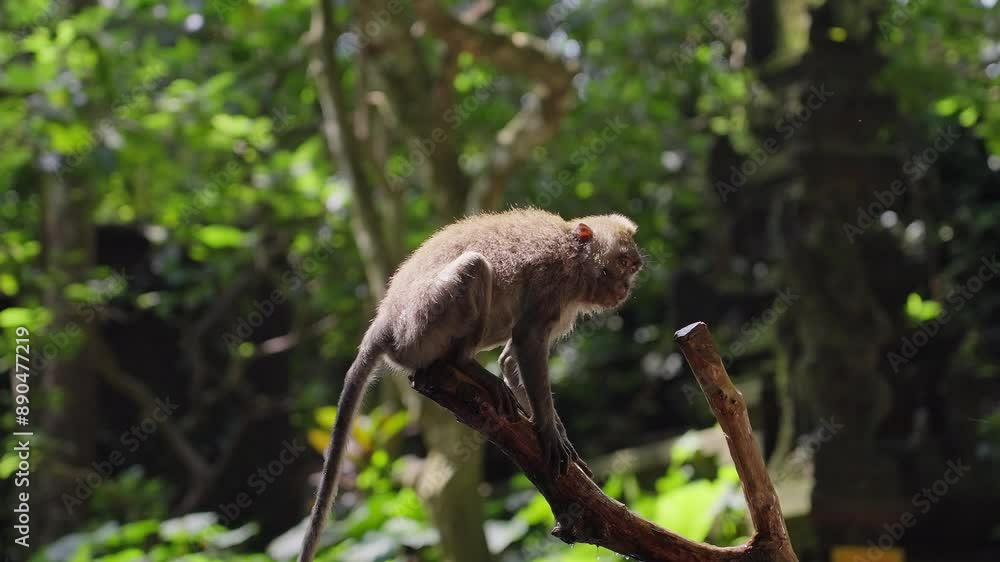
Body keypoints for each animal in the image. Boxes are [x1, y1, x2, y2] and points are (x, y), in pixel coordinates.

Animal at [298, 208, 643, 562]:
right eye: (621, 262)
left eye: (632, 267)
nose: (625, 287)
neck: (573, 255)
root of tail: (385, 322)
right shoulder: (551, 281)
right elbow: (527, 340)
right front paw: (549, 431)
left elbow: (511, 359)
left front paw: (561, 436)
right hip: (422, 324)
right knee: (475, 268)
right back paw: (465, 363)